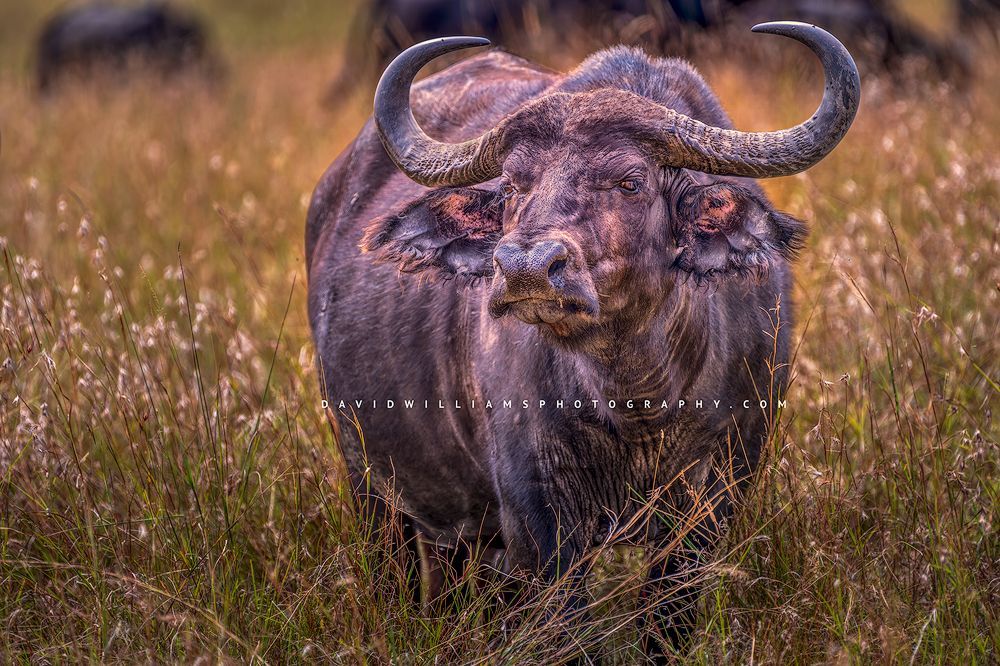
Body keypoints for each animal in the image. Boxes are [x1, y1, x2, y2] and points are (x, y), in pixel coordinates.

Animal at [307, 22, 859, 655]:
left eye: (630, 181)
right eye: (513, 183)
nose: (525, 267)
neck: (638, 403)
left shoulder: (712, 503)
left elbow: (665, 626)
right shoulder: (539, 522)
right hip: (372, 488)